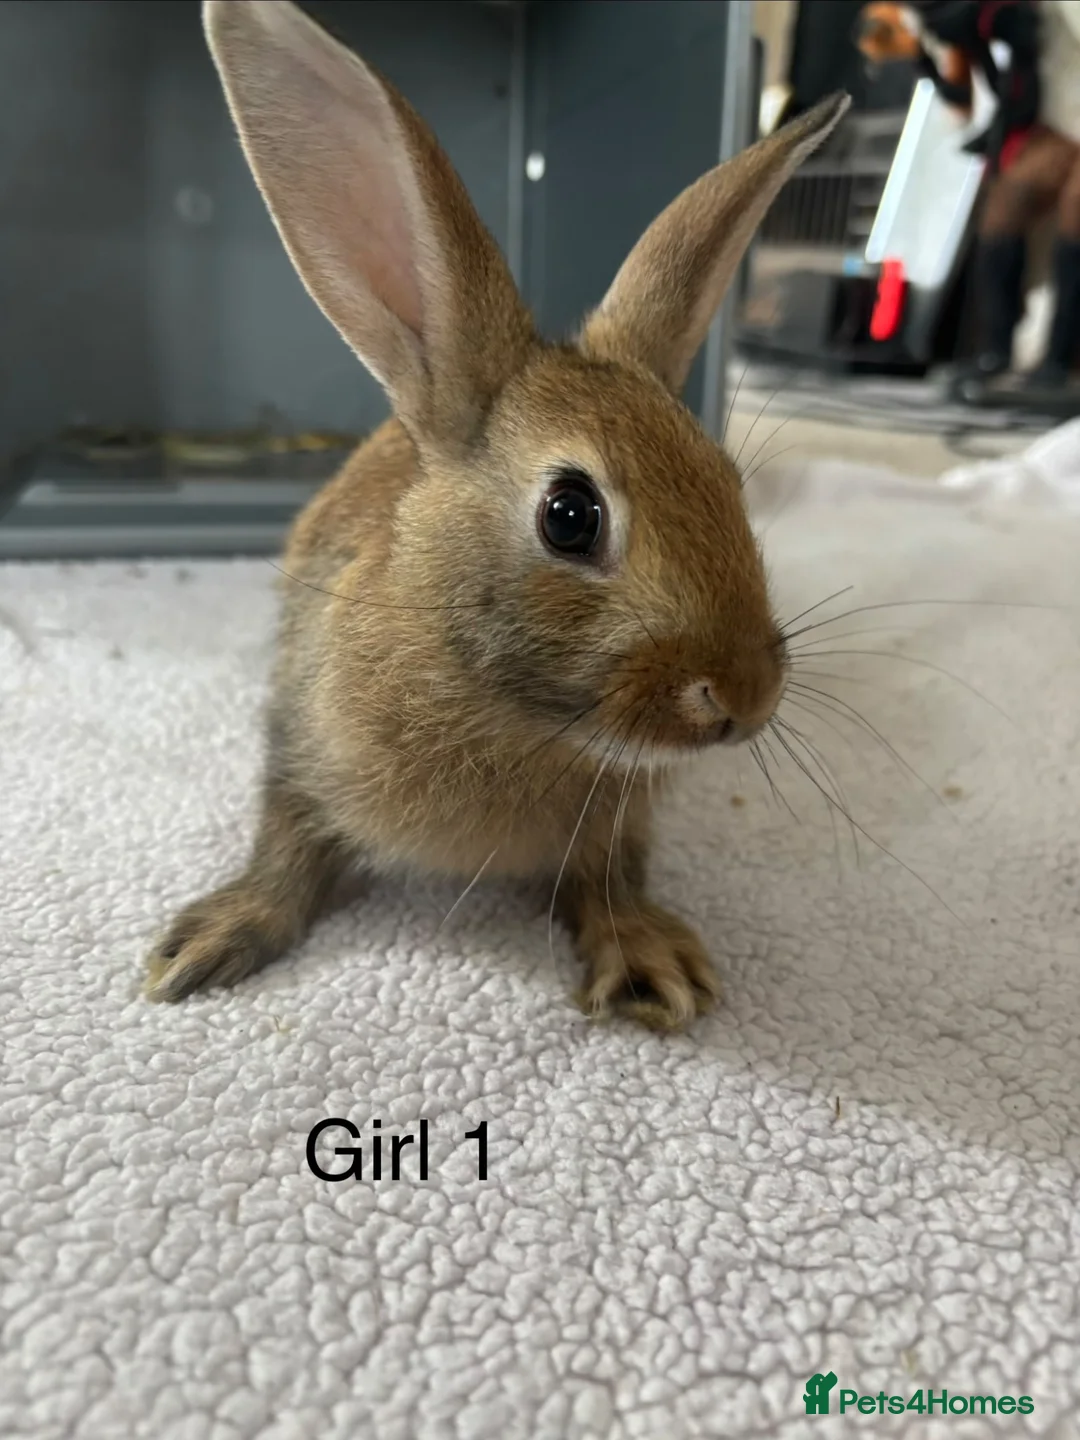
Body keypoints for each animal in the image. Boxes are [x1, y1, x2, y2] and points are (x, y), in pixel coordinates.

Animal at [144, 0, 850, 1030]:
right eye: (570, 514)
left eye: (730, 483)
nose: (748, 696)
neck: (513, 713)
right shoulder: (298, 745)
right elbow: (287, 845)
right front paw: (209, 942)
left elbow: (610, 881)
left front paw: (651, 963)